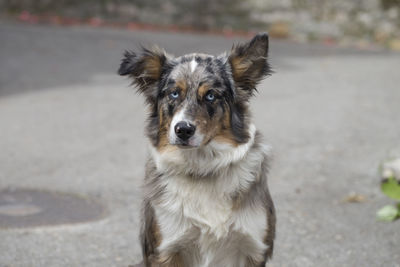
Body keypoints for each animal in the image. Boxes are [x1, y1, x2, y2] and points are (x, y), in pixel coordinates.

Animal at [119, 32, 276, 266]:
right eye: (174, 93)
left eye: (211, 95)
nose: (183, 129)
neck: (203, 168)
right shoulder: (165, 249)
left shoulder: (253, 248)